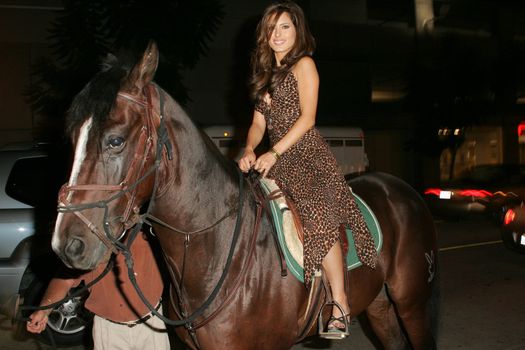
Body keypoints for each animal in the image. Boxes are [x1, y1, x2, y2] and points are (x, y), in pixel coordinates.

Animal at [52, 42, 438, 348]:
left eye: (115, 140)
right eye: (71, 138)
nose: (68, 245)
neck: (219, 246)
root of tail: (403, 190)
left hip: (412, 303)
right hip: (379, 306)